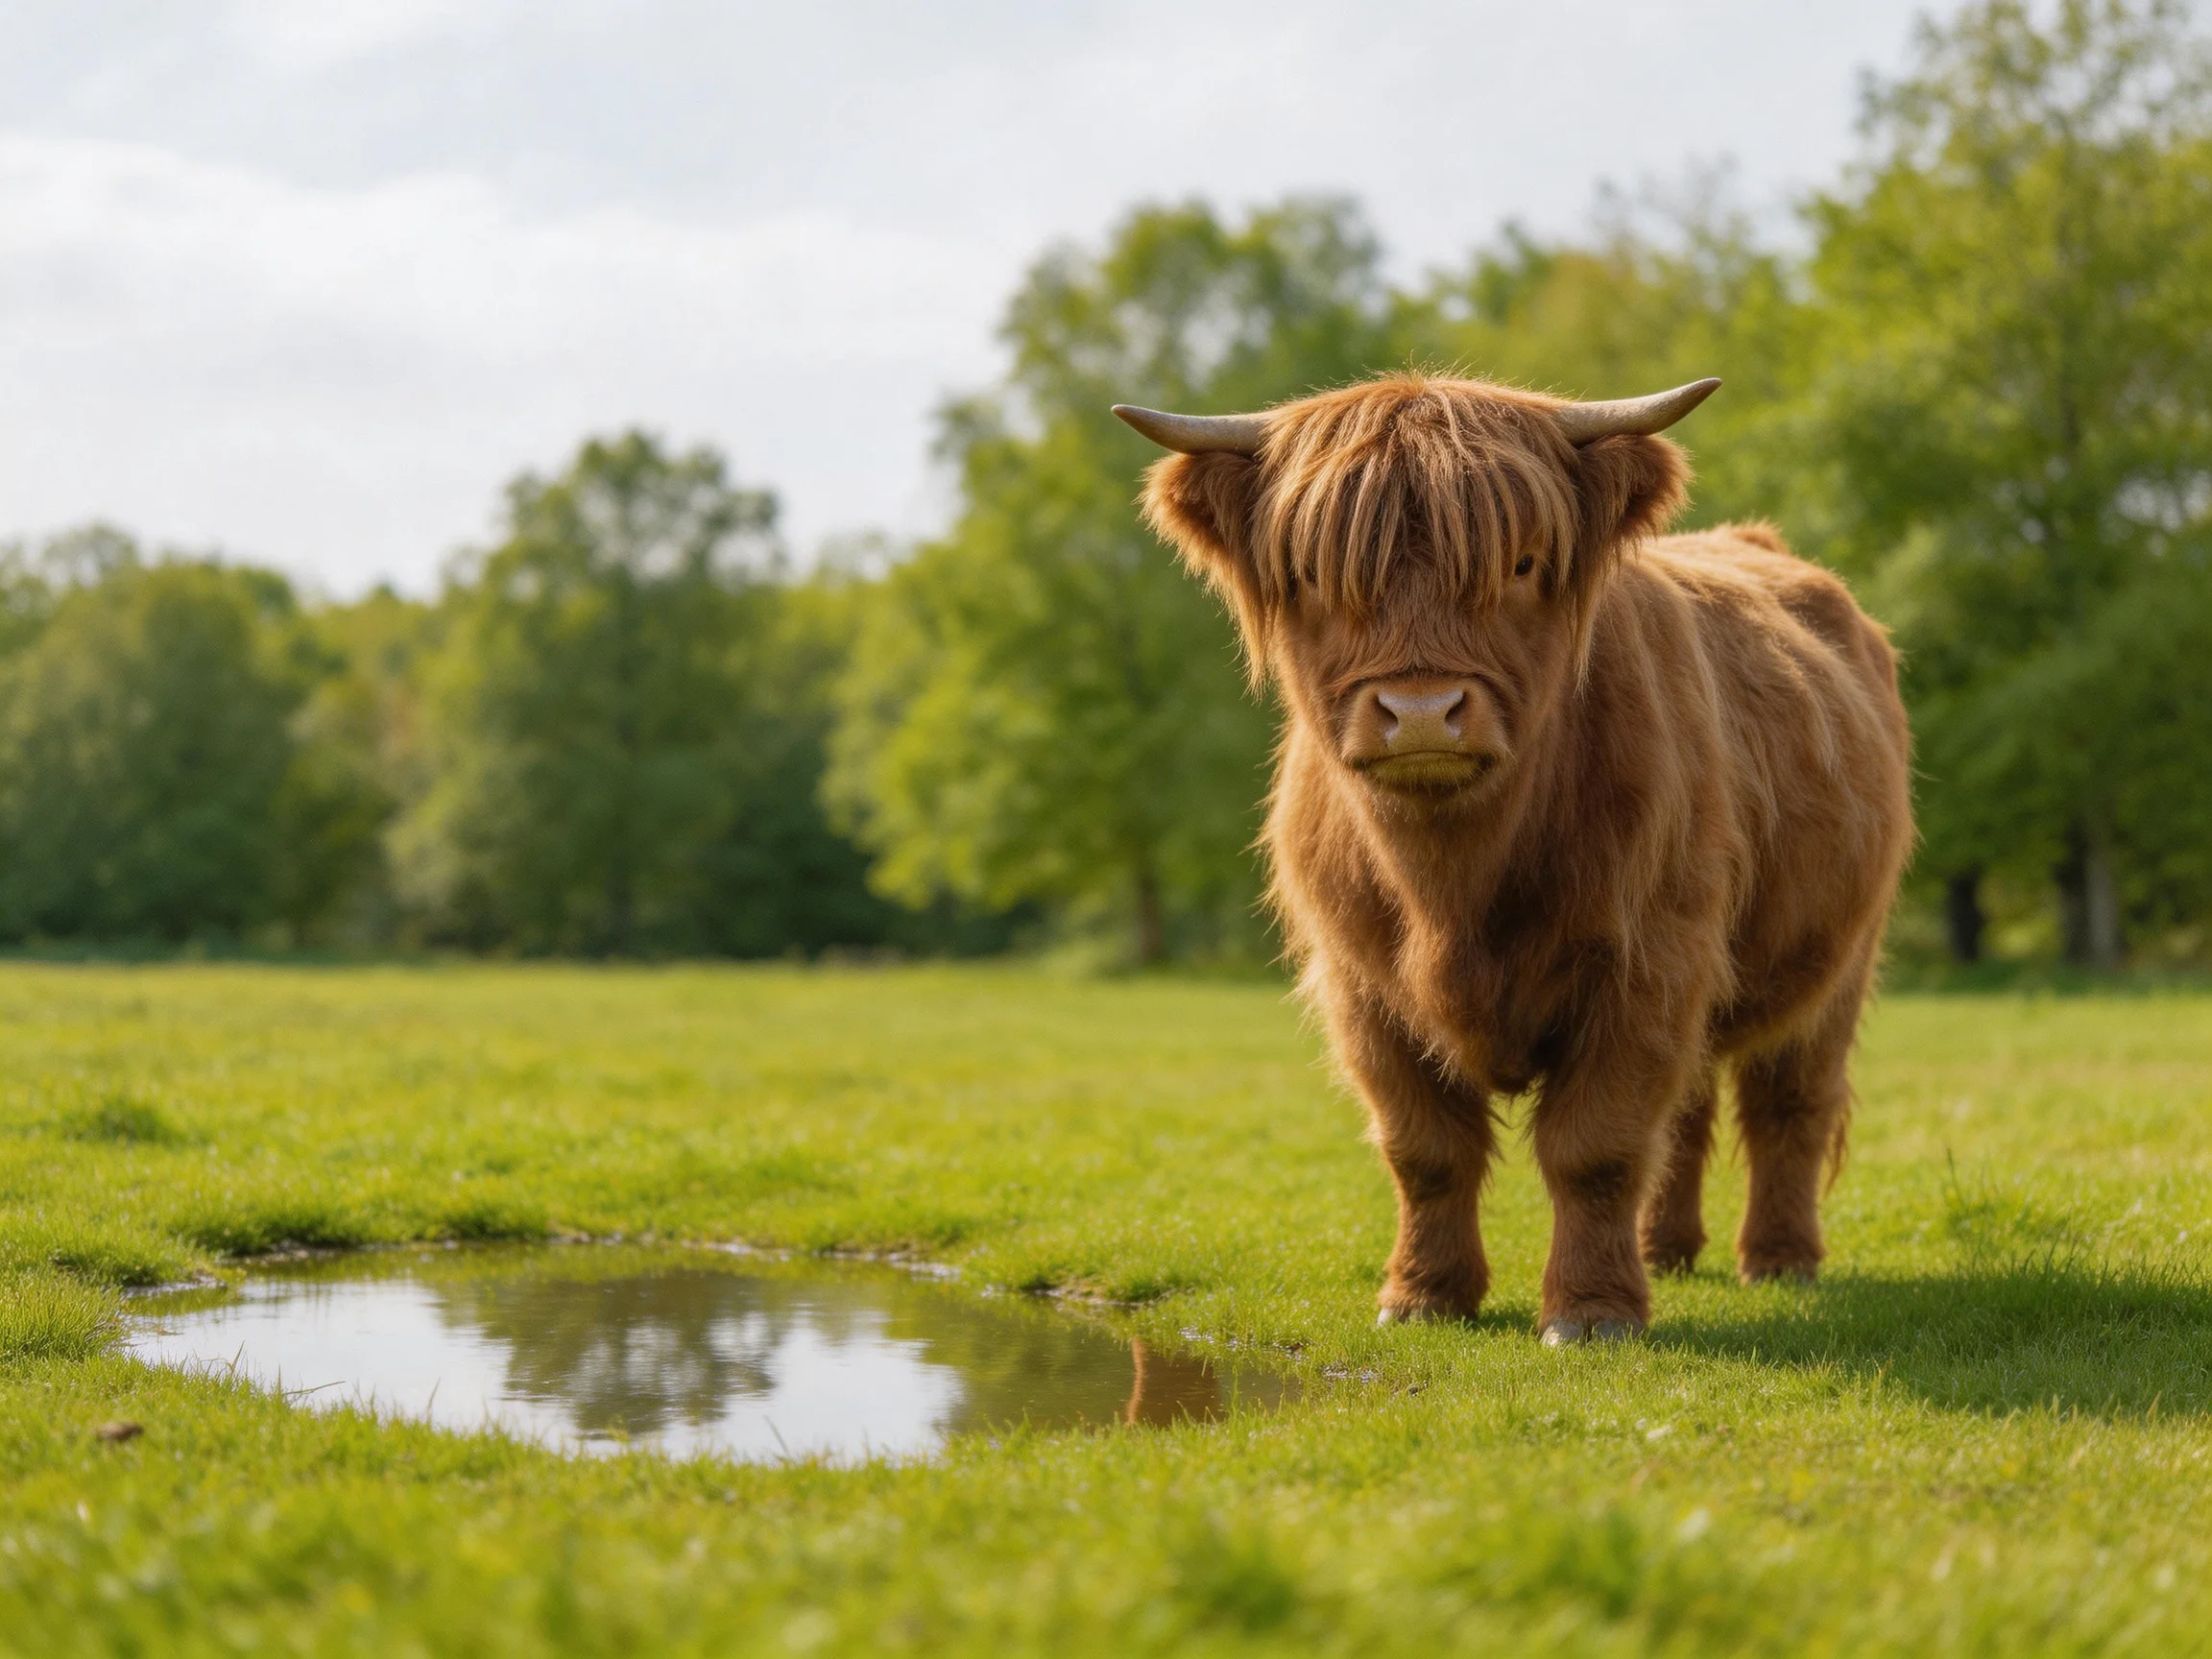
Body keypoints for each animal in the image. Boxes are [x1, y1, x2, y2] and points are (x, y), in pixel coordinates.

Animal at [1117, 373, 1912, 1342]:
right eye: (1312, 576)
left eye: (1524, 565)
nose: (1422, 712)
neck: (1451, 890)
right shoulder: (1359, 986)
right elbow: (1424, 1149)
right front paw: (1424, 1297)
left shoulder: (1648, 964)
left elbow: (1596, 1146)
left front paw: (1593, 1313)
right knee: (1687, 1113)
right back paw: (1664, 1252)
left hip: (1838, 963)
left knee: (1788, 1107)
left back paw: (1779, 1259)